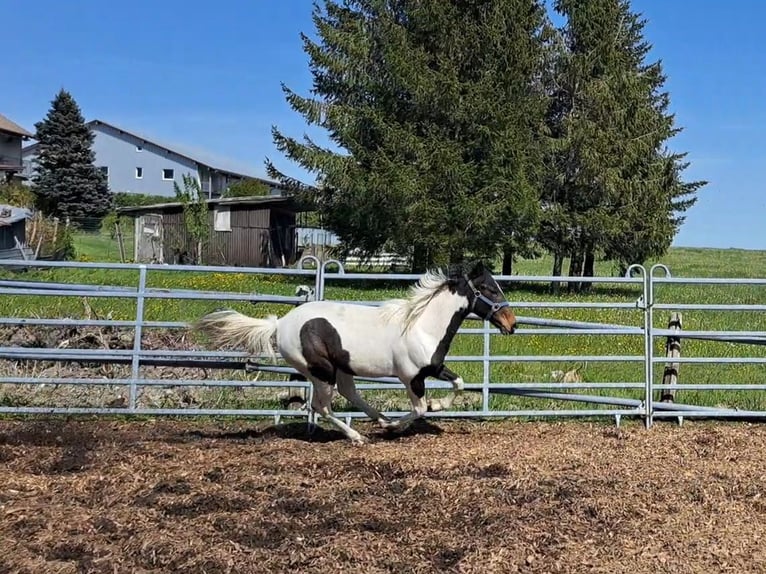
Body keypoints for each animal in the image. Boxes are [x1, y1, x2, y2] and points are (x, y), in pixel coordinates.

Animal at [192, 260, 520, 446]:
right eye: (490, 289)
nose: (512, 324)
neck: (422, 325)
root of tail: (280, 323)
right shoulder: (411, 378)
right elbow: (419, 409)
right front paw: (400, 426)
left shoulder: (433, 368)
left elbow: (458, 384)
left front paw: (436, 406)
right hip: (320, 371)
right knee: (322, 406)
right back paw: (359, 436)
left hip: (341, 368)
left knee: (349, 394)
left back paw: (380, 421)